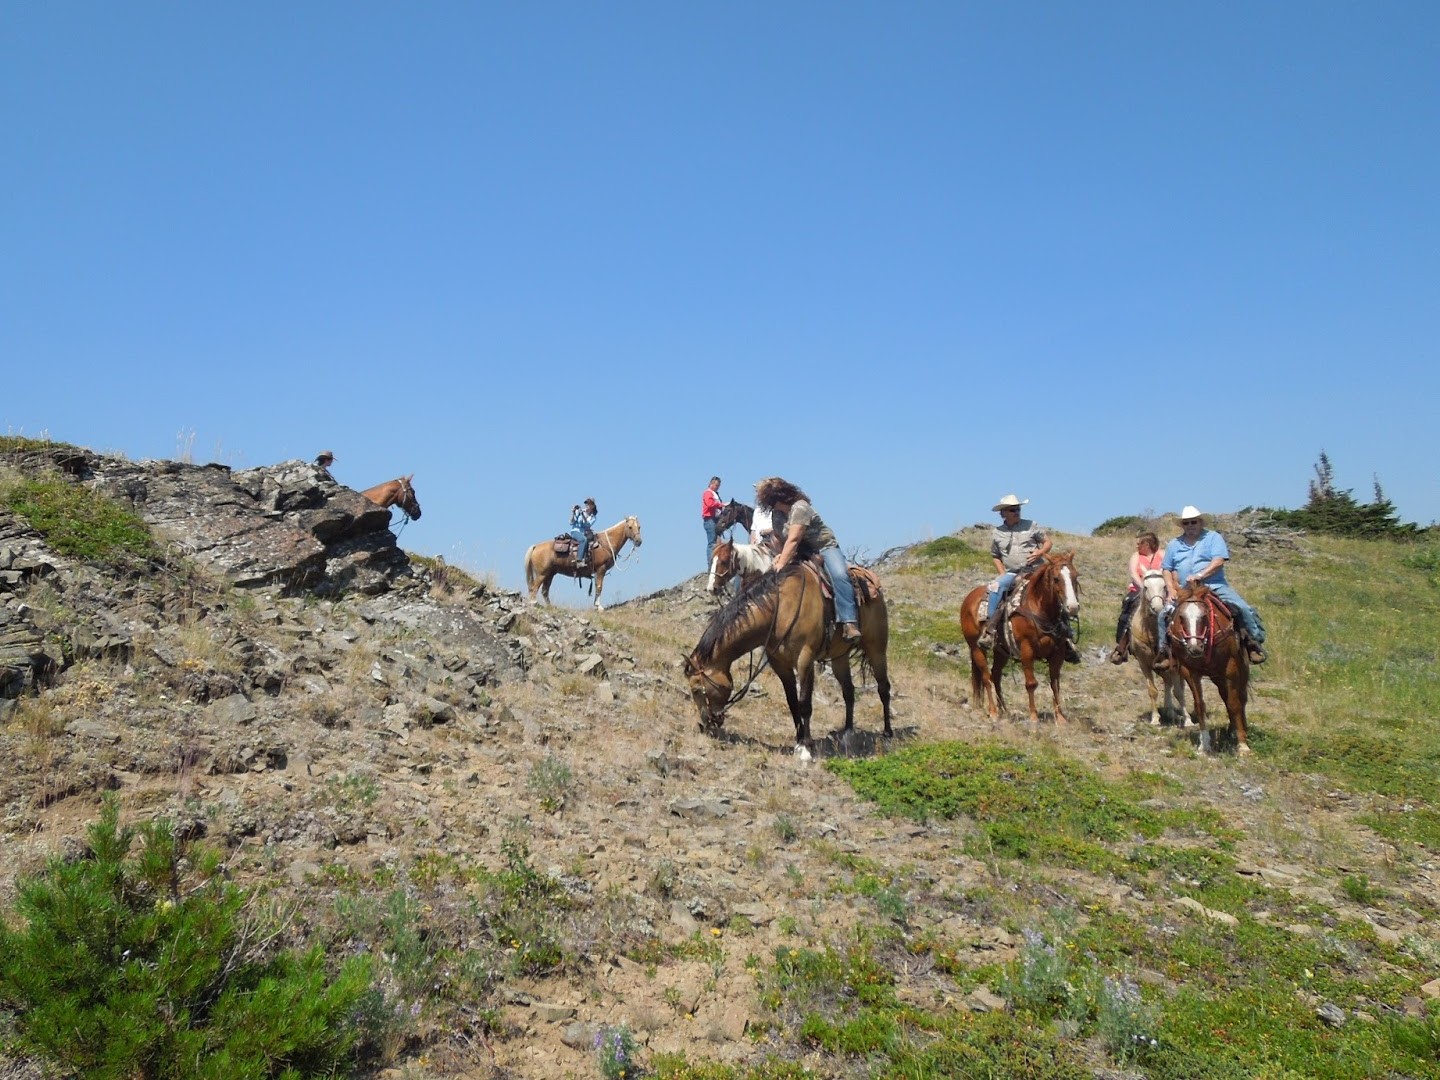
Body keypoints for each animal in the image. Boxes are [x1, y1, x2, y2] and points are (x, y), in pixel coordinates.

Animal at [682, 561, 887, 754]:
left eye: (696, 690)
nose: (705, 724)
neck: (779, 609)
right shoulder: (780, 665)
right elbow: (792, 703)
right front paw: (799, 741)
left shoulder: (805, 660)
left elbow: (804, 703)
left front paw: (806, 747)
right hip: (839, 657)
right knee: (849, 691)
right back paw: (848, 734)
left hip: (876, 648)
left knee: (883, 687)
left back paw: (887, 734)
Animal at [961, 552, 1082, 722]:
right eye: (1056, 578)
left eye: (1075, 576)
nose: (1072, 607)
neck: (1039, 609)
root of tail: (968, 599)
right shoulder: (1027, 650)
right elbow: (1031, 683)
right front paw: (1033, 717)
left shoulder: (1058, 652)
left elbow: (1055, 683)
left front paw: (1060, 718)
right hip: (976, 648)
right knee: (986, 677)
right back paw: (993, 712)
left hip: (1002, 651)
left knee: (995, 675)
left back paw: (1004, 710)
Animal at [1128, 570, 1186, 731]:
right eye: (1146, 587)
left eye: (1164, 586)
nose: (1157, 607)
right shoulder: (1144, 664)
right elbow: (1152, 691)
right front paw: (1155, 718)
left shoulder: (1173, 664)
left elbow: (1178, 692)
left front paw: (1188, 720)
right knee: (1168, 682)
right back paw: (1169, 711)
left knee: (1178, 686)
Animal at [1157, 587, 1249, 754]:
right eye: (1181, 617)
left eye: (1204, 616)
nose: (1194, 648)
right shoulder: (1190, 672)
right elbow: (1200, 705)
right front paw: (1204, 744)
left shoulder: (1231, 669)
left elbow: (1234, 704)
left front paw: (1242, 745)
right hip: (1217, 677)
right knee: (1225, 696)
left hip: (1241, 669)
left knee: (1241, 697)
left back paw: (1239, 729)